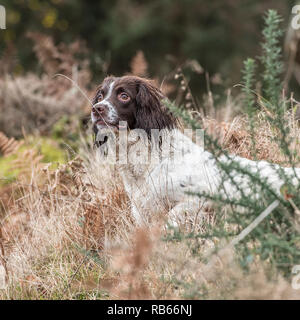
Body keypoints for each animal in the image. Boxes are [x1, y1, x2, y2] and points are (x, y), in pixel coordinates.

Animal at [91, 75, 300, 225]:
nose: (96, 109)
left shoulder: (199, 200)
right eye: (100, 96)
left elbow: (171, 220)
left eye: (124, 95)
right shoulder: (142, 211)